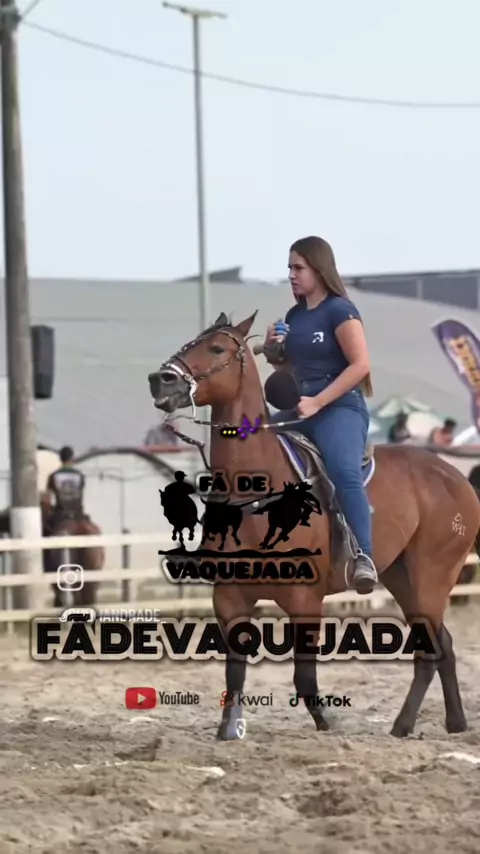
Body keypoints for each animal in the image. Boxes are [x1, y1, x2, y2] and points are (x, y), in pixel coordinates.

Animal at [148, 311, 480, 741]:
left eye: (216, 348)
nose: (160, 380)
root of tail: (455, 478)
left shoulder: (305, 600)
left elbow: (304, 674)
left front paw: (328, 721)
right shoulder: (229, 597)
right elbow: (234, 670)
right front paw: (229, 729)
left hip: (432, 576)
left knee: (430, 650)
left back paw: (404, 724)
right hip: (401, 576)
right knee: (443, 645)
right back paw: (452, 721)